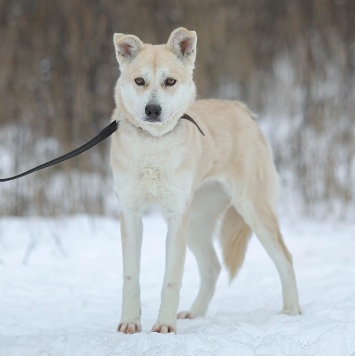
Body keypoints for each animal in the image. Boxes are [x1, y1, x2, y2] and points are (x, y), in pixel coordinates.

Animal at [110, 27, 300, 334]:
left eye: (170, 81)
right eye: (139, 81)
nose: (152, 110)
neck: (153, 147)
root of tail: (243, 110)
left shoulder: (177, 217)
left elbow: (171, 278)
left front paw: (164, 326)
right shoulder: (130, 213)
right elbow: (130, 277)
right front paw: (129, 322)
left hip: (252, 210)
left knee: (285, 257)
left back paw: (292, 311)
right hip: (198, 222)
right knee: (213, 267)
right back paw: (195, 312)